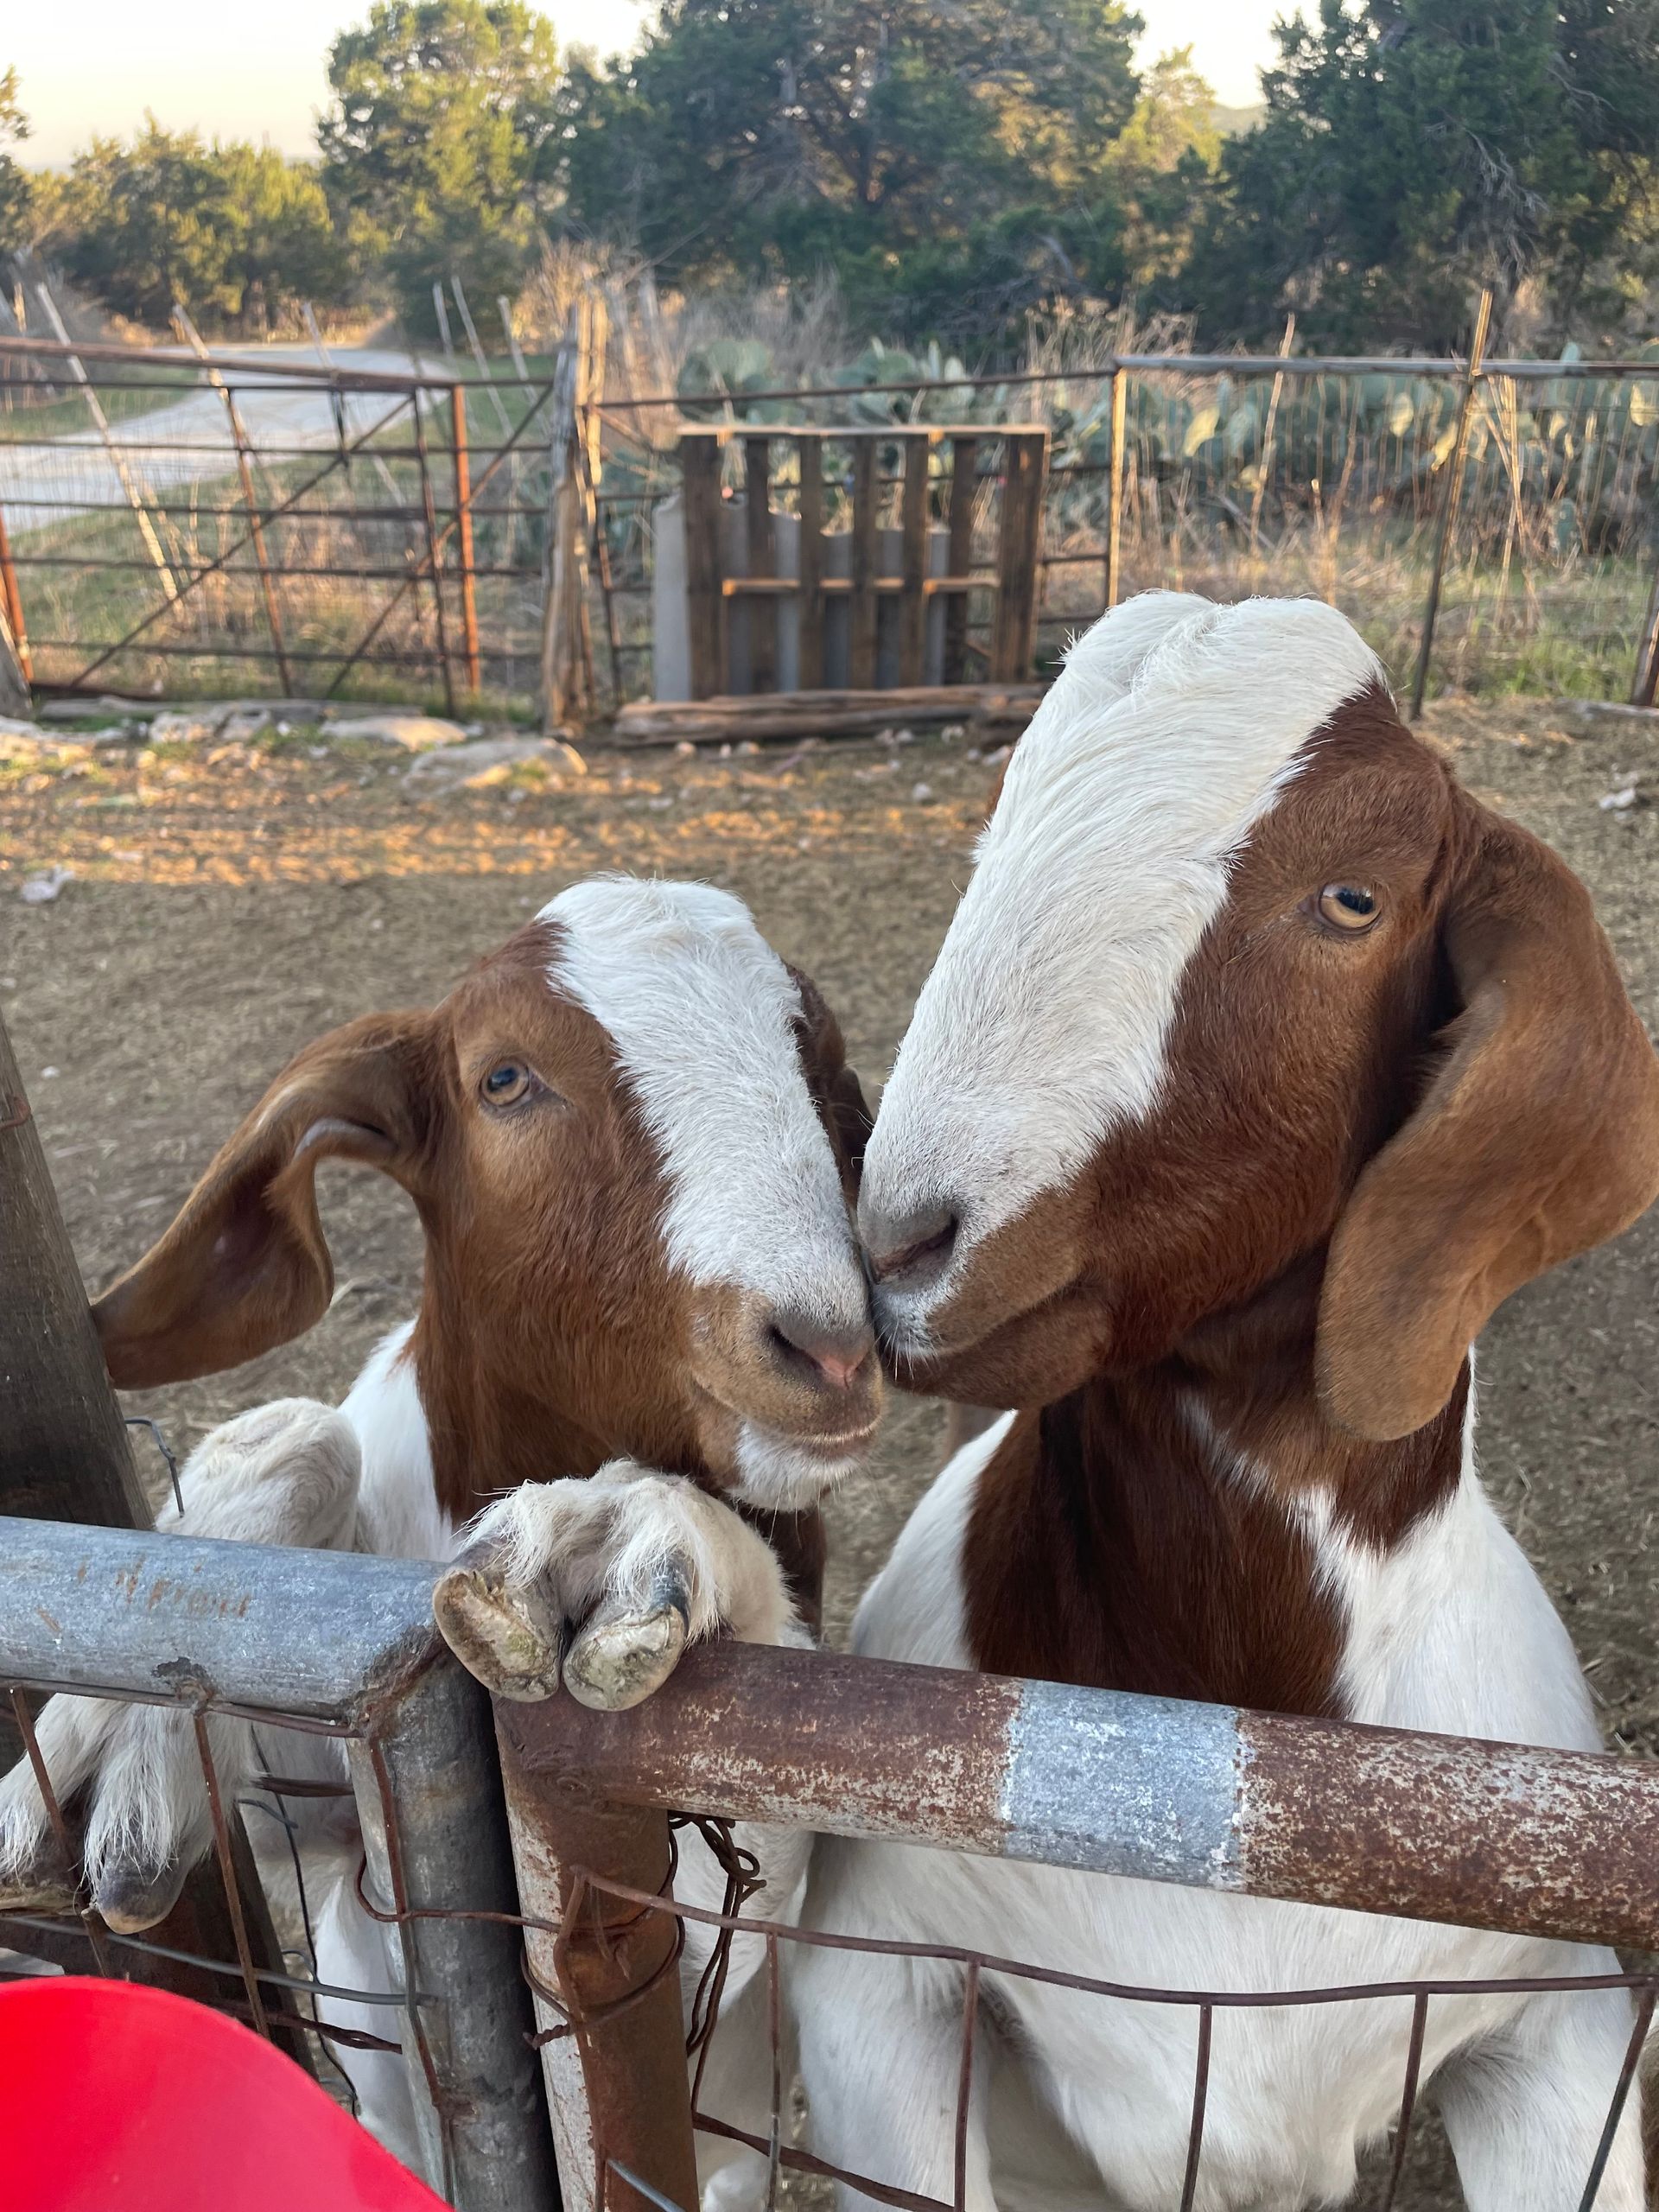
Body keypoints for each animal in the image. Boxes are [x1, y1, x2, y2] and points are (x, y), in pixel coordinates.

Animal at [0, 874, 879, 2199]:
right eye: (503, 1078)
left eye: (818, 1059)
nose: (828, 1345)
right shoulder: (317, 1801)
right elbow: (297, 1434)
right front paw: (118, 1737)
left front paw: (614, 1524)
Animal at [794, 595, 1659, 2210]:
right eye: (994, 831)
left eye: (1352, 899)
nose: (901, 1244)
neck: (1228, 1777)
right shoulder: (874, 1996)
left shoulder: (1558, 2031)